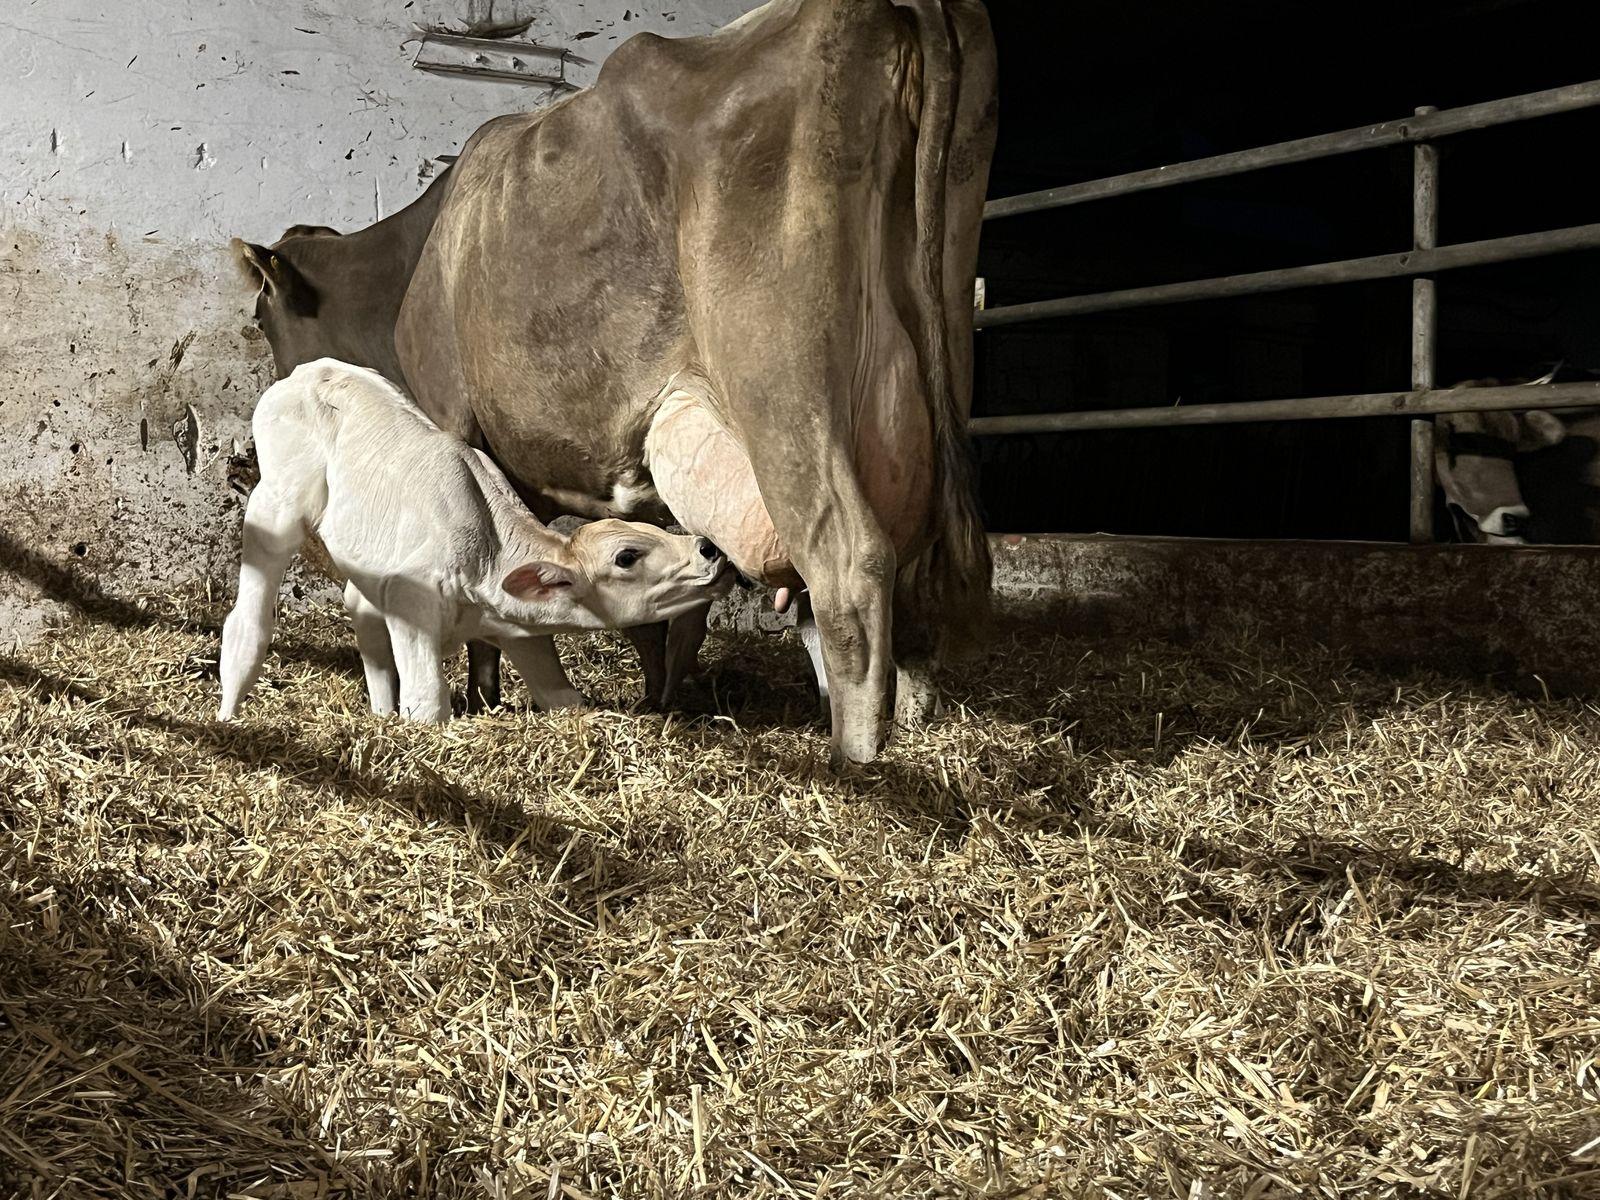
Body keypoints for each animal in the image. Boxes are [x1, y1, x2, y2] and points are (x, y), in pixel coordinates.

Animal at [217, 359, 733, 722]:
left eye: (654, 531)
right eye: (627, 556)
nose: (709, 548)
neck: (487, 561)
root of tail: (311, 370)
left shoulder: (518, 632)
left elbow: (563, 697)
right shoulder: (411, 599)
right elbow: (428, 703)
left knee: (361, 614)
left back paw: (379, 714)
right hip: (277, 503)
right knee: (248, 619)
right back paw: (229, 714)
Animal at [394, 0, 999, 764]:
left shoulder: (453, 417)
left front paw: (484, 696)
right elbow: (660, 610)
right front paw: (656, 698)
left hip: (780, 385)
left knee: (850, 564)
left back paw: (853, 761)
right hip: (937, 346)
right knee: (912, 580)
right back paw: (911, 723)